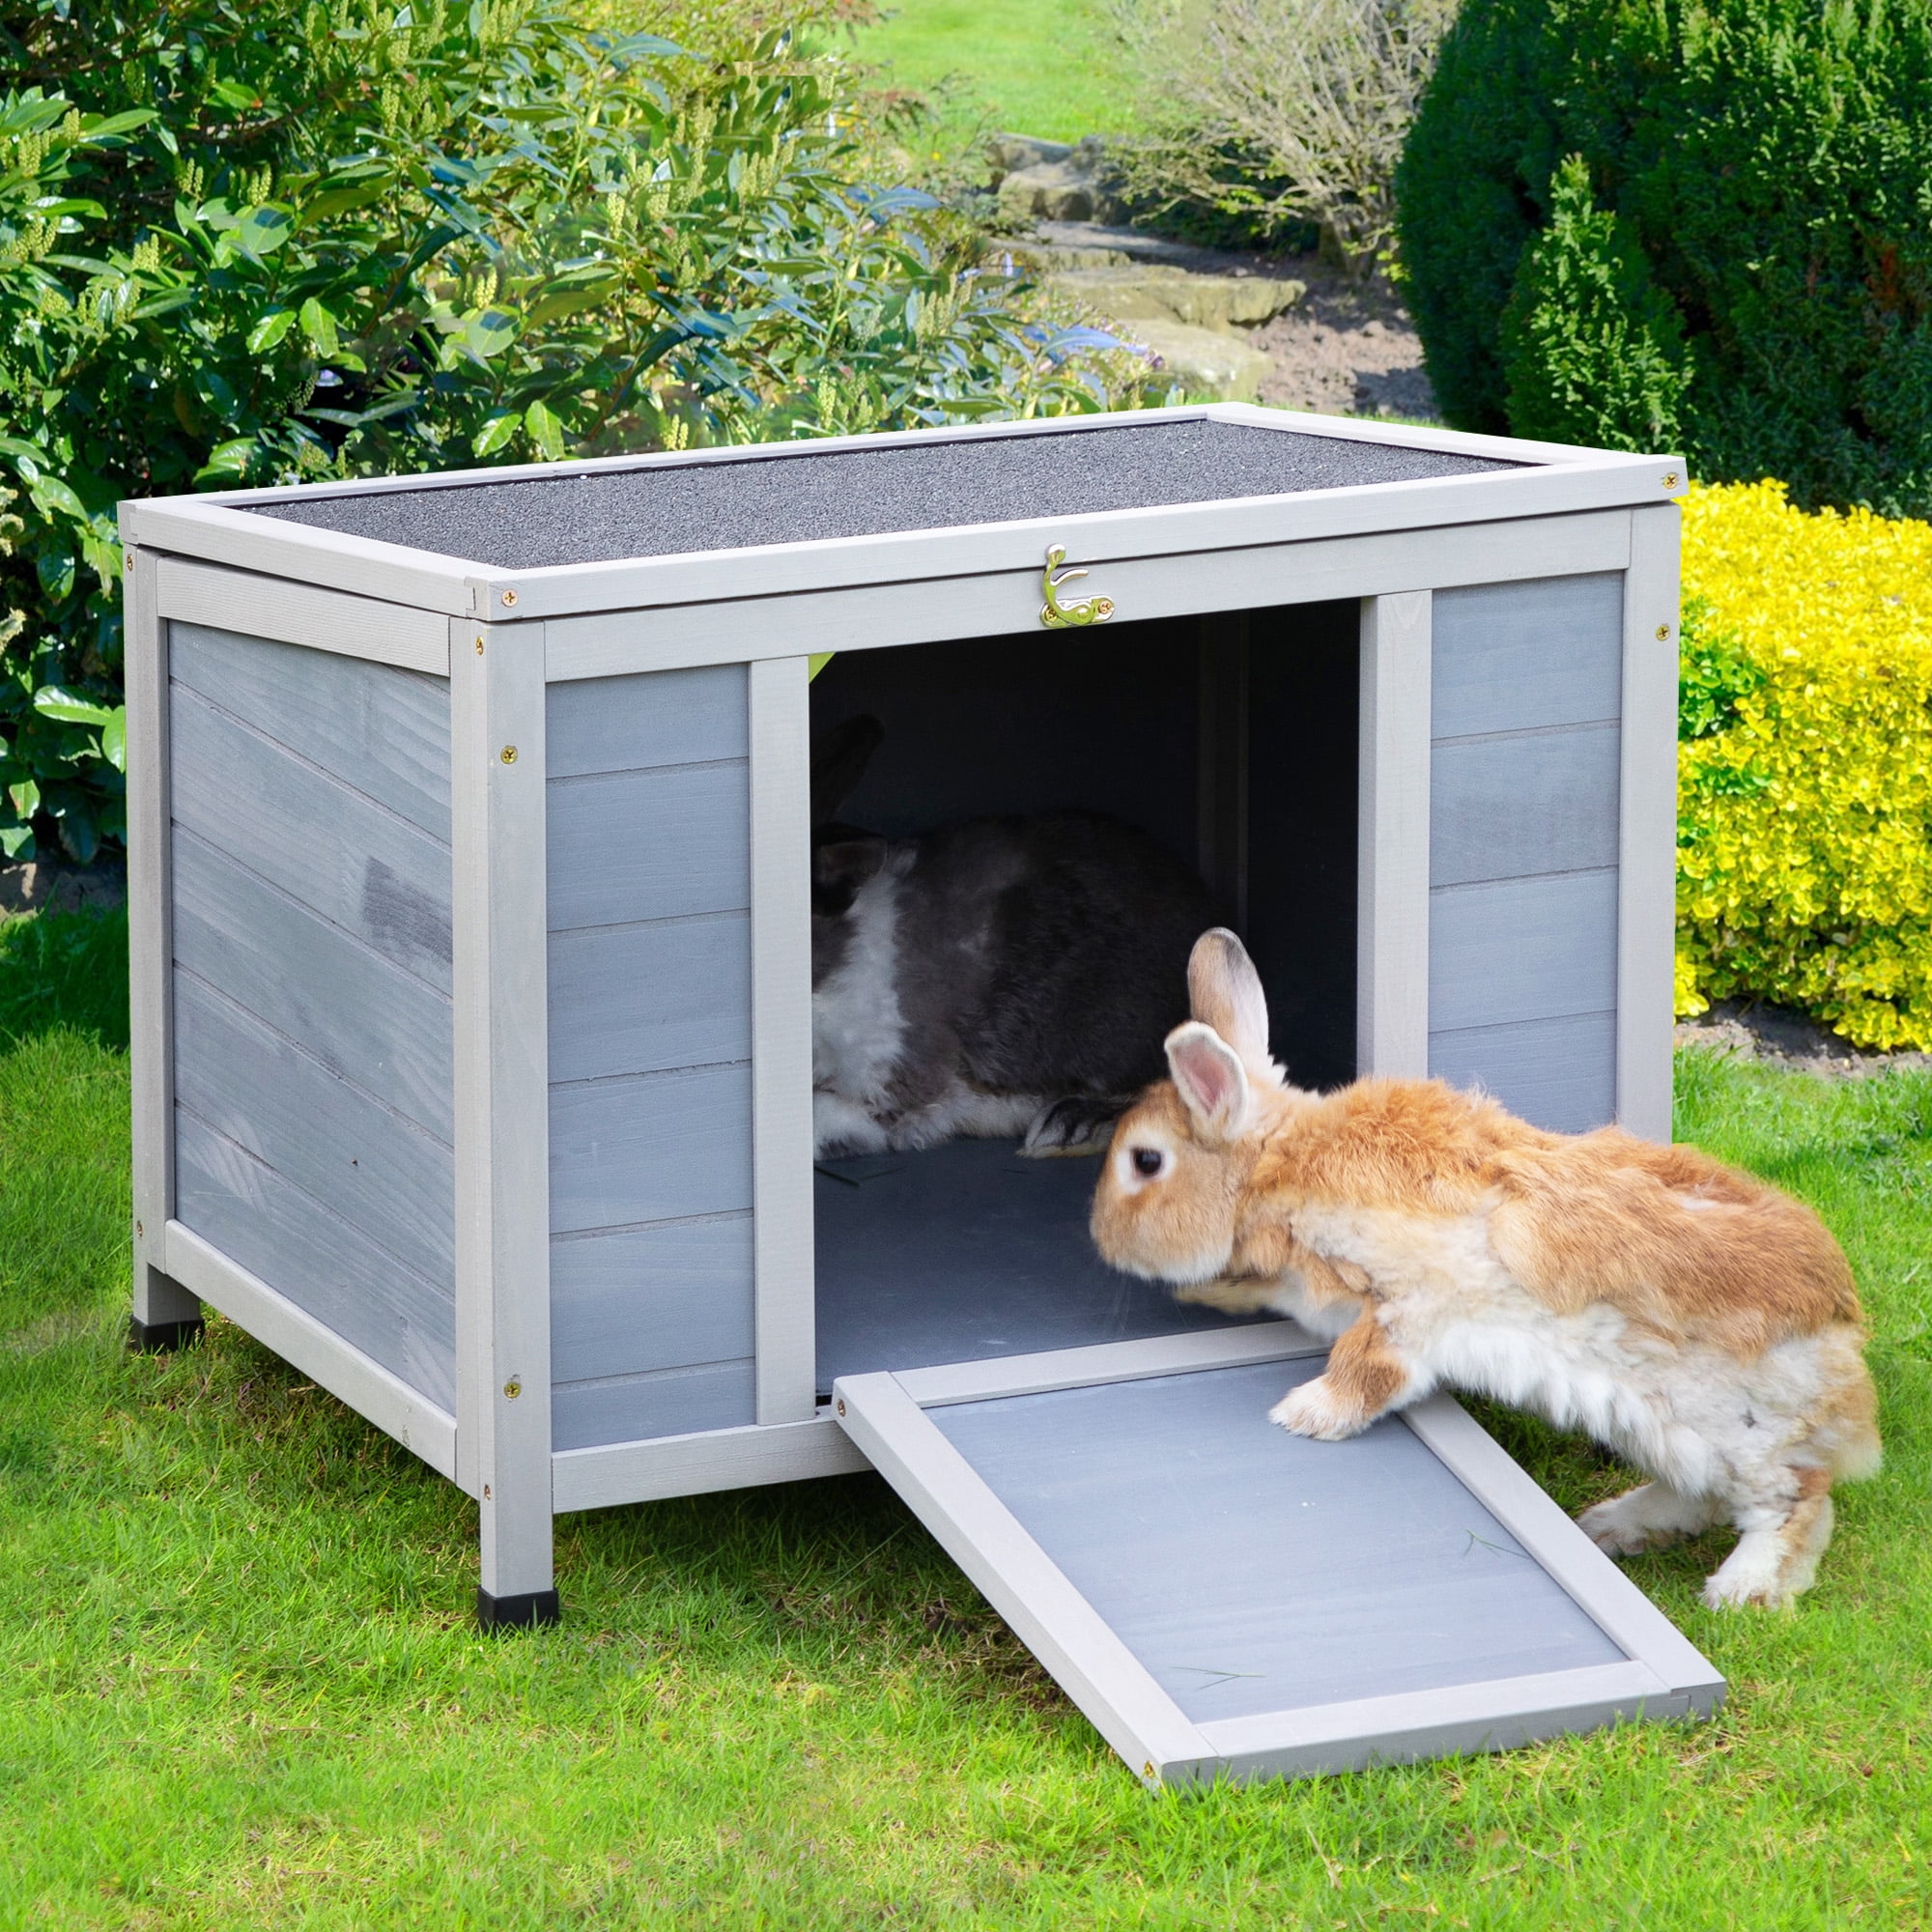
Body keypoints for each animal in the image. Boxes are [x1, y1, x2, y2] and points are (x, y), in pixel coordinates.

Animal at [1090, 927, 1881, 1610]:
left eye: (1146, 1161)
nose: (1099, 1238)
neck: (1276, 1168)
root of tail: (1844, 1336)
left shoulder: (1414, 1303)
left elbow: (1367, 1363)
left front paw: (1306, 1416)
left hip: (1734, 1434)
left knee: (1796, 1500)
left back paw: (1741, 1590)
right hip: (1663, 1433)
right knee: (1700, 1496)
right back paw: (1613, 1525)